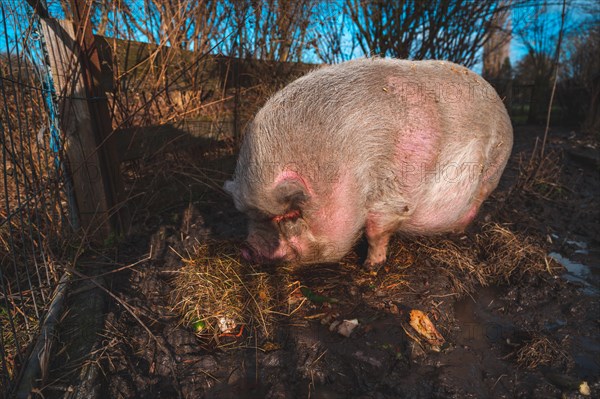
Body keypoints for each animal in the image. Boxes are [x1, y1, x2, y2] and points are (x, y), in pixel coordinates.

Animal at [223, 57, 512, 268]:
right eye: (247, 215)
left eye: (290, 214)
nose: (247, 249)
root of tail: (498, 98)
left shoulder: (392, 194)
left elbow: (378, 231)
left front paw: (370, 267)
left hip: (491, 172)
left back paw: (458, 233)